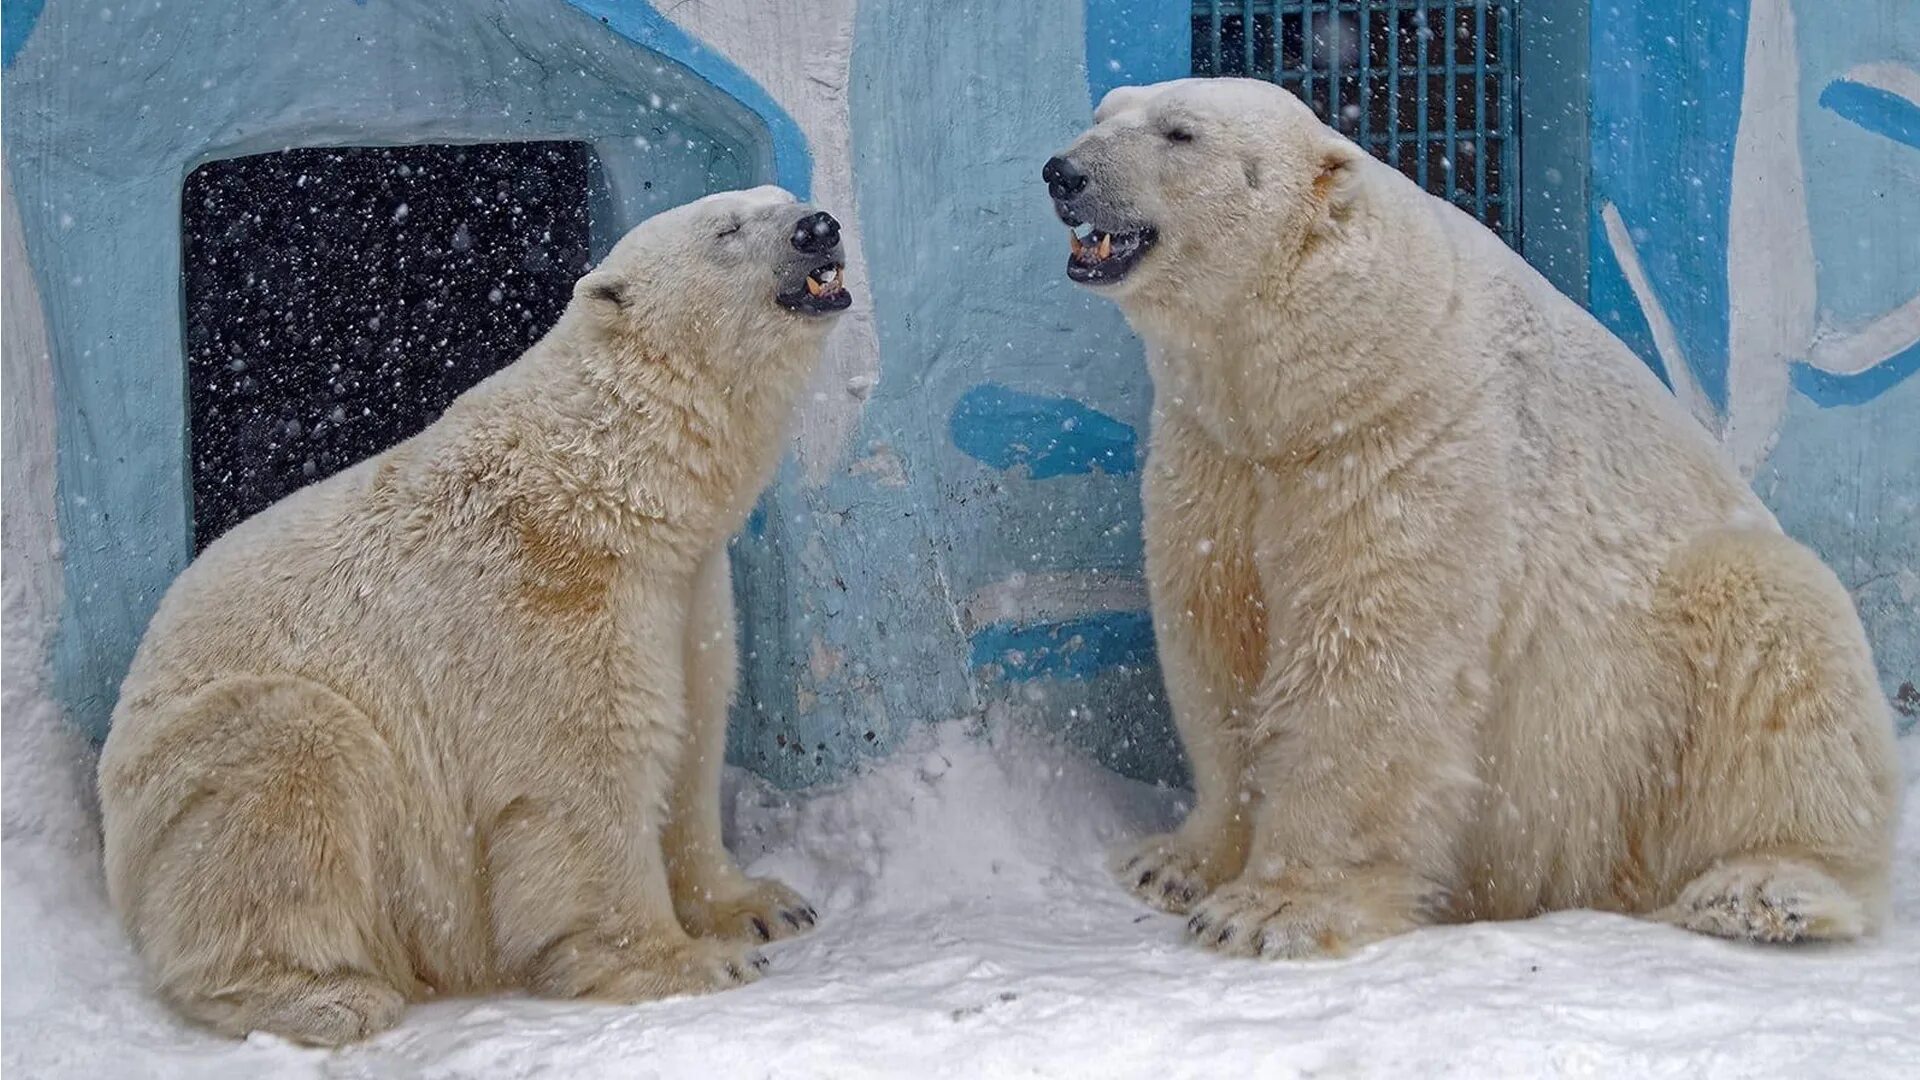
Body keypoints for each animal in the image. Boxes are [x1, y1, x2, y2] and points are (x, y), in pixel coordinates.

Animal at [101, 187, 852, 1045]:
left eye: (782, 199)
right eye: (727, 228)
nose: (818, 227)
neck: (612, 484)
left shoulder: (688, 592)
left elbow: (693, 736)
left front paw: (763, 905)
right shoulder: (548, 593)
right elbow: (586, 775)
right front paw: (689, 963)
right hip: (194, 769)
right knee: (291, 769)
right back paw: (327, 997)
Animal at [1052, 79, 1904, 953]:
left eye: (1180, 133)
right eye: (1102, 114)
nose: (1063, 173)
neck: (1329, 375)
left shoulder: (1405, 441)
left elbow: (1366, 660)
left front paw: (1270, 910)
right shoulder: (1215, 456)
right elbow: (1216, 636)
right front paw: (1173, 863)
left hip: (1676, 658)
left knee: (1785, 648)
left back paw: (1762, 890)